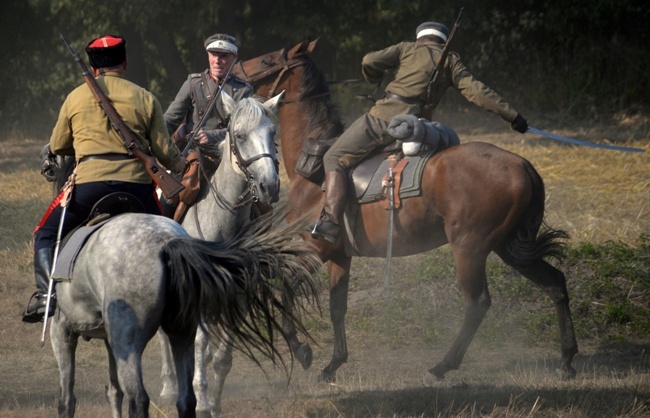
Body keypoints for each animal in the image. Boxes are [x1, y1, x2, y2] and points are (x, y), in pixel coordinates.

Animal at [50, 93, 322, 416]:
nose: (270, 186)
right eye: (240, 135)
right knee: (166, 340)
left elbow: (223, 356)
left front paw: (214, 401)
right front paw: (202, 398)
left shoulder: (239, 296)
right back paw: (169, 384)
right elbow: (199, 343)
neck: (222, 222)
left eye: (271, 132)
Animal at [233, 39, 576, 382]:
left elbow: (287, 287)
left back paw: (443, 365)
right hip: (508, 247)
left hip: (469, 249)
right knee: (555, 283)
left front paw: (301, 349)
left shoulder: (315, 248)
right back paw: (567, 359)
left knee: (477, 303)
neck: (316, 174)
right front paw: (333, 364)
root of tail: (522, 164)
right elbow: (337, 307)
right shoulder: (339, 255)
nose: (237, 73)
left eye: (266, 61)